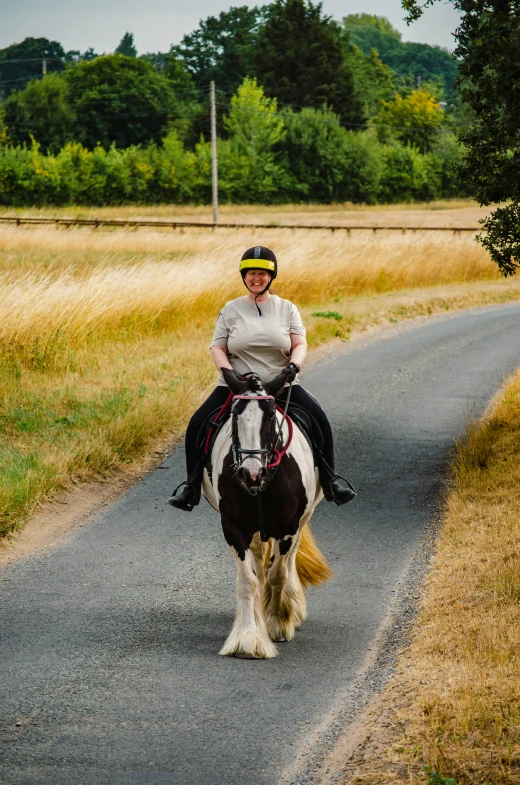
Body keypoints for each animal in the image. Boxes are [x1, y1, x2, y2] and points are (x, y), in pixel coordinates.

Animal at [201, 366, 332, 656]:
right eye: (234, 416)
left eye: (271, 416)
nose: (251, 473)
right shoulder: (233, 527)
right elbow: (248, 580)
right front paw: (248, 638)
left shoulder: (289, 526)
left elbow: (278, 574)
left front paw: (278, 622)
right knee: (259, 564)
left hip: (302, 519)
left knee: (286, 561)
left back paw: (289, 607)